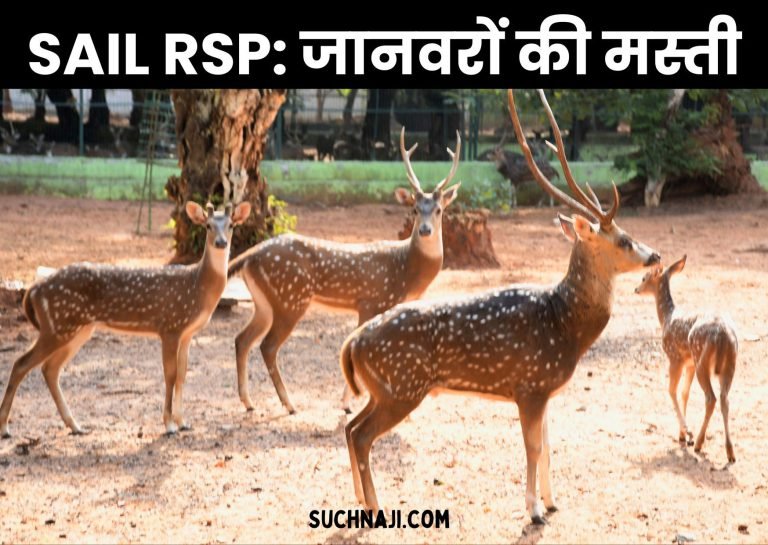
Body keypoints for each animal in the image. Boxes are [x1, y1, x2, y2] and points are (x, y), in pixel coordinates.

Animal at [0, 200, 251, 438]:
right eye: (208, 226)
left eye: (231, 225)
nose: (221, 242)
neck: (197, 288)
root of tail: (34, 289)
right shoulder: (169, 326)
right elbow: (170, 375)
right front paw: (169, 425)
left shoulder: (187, 333)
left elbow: (182, 375)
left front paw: (183, 423)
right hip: (56, 326)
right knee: (21, 363)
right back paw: (5, 428)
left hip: (77, 329)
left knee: (50, 369)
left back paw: (76, 426)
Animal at [227, 127, 461, 415]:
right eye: (415, 209)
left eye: (439, 210)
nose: (425, 230)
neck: (406, 271)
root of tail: (251, 255)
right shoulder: (372, 301)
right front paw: (348, 403)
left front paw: (347, 402)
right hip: (290, 298)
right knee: (267, 346)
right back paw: (290, 404)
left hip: (264, 302)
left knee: (242, 340)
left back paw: (249, 402)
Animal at [339, 89, 661, 525]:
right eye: (625, 239)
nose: (655, 254)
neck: (564, 325)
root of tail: (353, 343)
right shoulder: (530, 385)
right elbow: (533, 447)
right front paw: (534, 511)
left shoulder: (546, 390)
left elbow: (548, 445)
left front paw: (553, 502)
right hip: (403, 386)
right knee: (361, 435)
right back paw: (375, 507)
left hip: (382, 389)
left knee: (350, 428)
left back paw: (361, 501)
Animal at [635, 255, 737, 463]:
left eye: (644, 277)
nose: (636, 289)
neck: (666, 318)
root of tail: (722, 335)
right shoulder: (688, 363)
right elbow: (685, 393)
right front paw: (682, 434)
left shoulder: (675, 358)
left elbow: (672, 391)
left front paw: (687, 433)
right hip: (729, 363)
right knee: (725, 399)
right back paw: (730, 453)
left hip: (701, 361)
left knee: (711, 398)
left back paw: (698, 442)